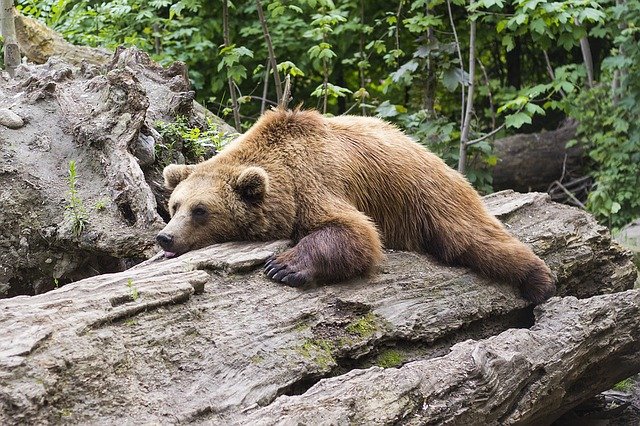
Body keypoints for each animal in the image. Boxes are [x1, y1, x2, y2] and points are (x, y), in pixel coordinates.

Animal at [157, 108, 556, 304]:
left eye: (201, 210)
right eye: (174, 206)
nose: (165, 238)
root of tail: (429, 152)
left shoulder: (315, 183)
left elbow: (356, 232)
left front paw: (283, 266)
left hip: (428, 196)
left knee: (474, 238)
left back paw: (539, 280)